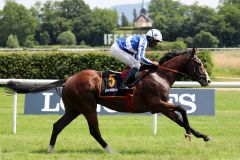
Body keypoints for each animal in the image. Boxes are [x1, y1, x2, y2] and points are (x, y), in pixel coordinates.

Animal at [6, 48, 211, 153]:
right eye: (198, 63)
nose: (207, 80)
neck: (159, 75)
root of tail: (69, 78)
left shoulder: (162, 107)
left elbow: (179, 117)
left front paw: (202, 135)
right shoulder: (156, 104)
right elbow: (183, 109)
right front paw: (188, 134)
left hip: (73, 109)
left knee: (57, 125)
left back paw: (50, 149)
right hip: (87, 106)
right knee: (94, 130)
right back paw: (111, 150)